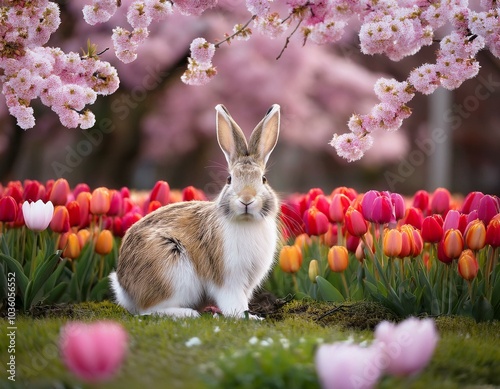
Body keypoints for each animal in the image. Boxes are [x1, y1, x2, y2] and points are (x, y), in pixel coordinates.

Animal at [110, 104, 282, 318]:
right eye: (229, 179)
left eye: (264, 179)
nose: (246, 200)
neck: (247, 222)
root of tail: (125, 290)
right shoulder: (227, 280)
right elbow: (234, 302)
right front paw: (249, 318)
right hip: (172, 267)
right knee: (148, 310)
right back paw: (188, 313)